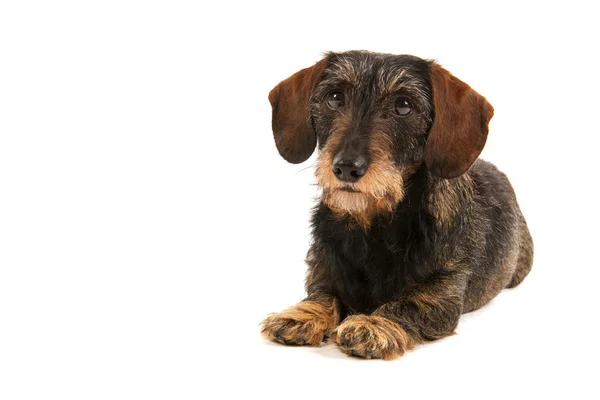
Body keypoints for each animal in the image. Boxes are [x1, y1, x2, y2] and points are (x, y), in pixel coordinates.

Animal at [260, 50, 532, 360]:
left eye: (403, 106)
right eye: (335, 97)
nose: (346, 168)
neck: (372, 229)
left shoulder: (441, 296)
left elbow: (406, 305)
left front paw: (373, 325)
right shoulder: (323, 269)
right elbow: (324, 294)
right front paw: (303, 314)